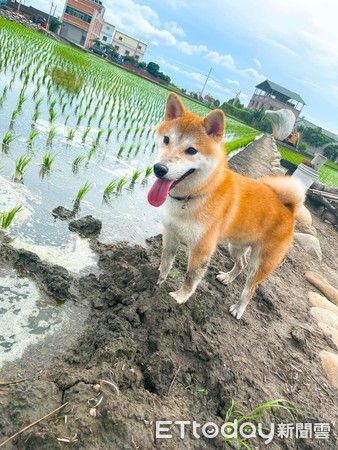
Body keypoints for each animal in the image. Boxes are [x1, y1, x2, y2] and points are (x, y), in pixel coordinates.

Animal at [147, 93, 304, 320]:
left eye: (191, 150)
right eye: (166, 139)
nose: (159, 169)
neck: (195, 195)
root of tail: (288, 208)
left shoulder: (202, 249)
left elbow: (190, 278)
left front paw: (179, 297)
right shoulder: (170, 234)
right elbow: (166, 262)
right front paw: (157, 280)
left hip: (261, 263)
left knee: (250, 288)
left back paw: (239, 308)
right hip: (236, 246)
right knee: (241, 264)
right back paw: (228, 278)